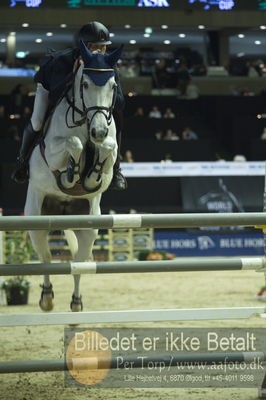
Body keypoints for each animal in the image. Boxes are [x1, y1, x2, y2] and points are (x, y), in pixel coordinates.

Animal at [24, 43, 122, 312]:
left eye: (113, 85)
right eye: (85, 84)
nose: (98, 131)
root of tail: (61, 212)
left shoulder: (110, 153)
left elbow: (108, 148)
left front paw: (89, 175)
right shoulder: (53, 151)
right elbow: (74, 143)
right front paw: (71, 174)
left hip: (89, 226)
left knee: (78, 263)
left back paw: (77, 303)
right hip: (36, 219)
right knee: (46, 258)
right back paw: (46, 299)